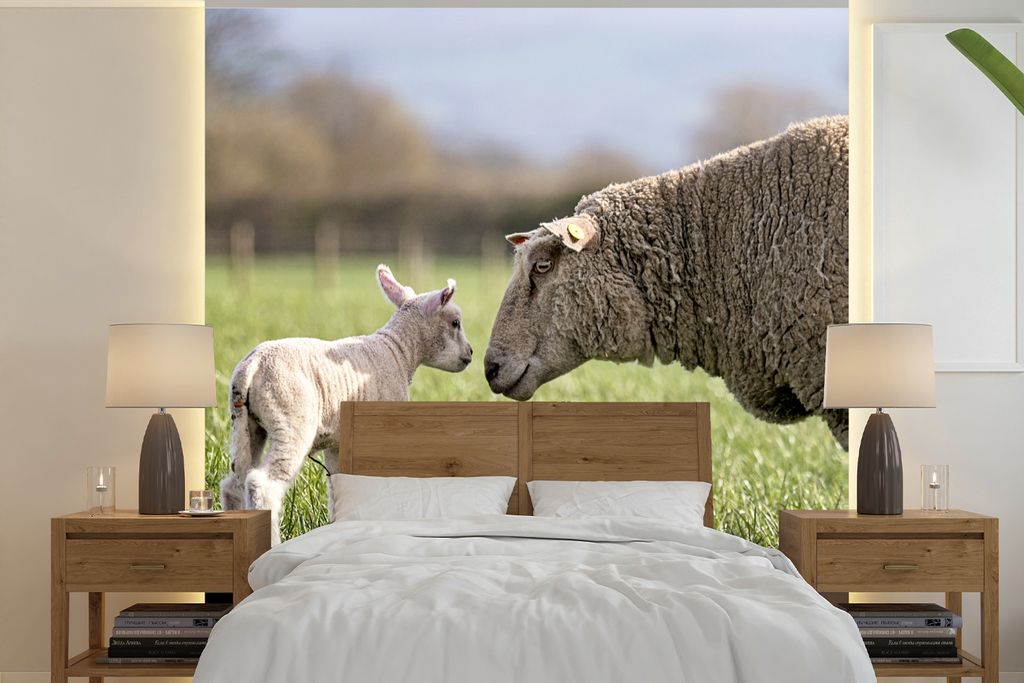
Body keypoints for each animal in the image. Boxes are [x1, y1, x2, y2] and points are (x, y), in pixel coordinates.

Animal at [221, 264, 473, 543]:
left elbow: (336, 488)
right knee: (262, 484)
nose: (471, 353)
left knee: (234, 482)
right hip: (291, 419)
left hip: (246, 425)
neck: (399, 351)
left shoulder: (336, 443)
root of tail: (252, 366)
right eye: (455, 323)